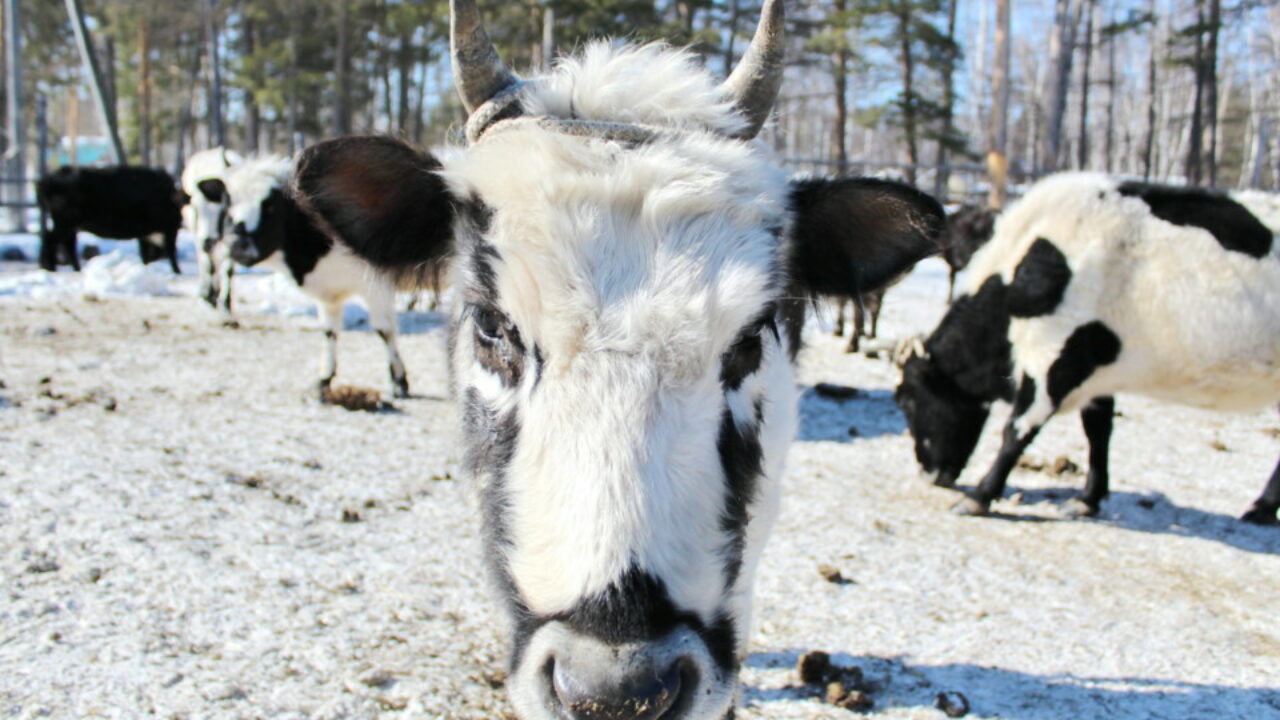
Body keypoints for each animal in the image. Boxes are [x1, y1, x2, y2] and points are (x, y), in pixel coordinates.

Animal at [36, 165, 185, 271]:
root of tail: (46, 179)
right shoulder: (170, 228)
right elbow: (170, 251)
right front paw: (177, 271)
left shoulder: (147, 233)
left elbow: (146, 255)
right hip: (65, 223)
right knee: (52, 239)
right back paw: (51, 267)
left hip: (70, 225)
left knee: (66, 244)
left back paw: (74, 269)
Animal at [181, 147, 243, 310]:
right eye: (196, 208)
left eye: (224, 209)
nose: (208, 243)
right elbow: (209, 265)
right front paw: (208, 297)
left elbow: (228, 269)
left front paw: (226, 302)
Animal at [222, 154, 414, 397]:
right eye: (228, 203)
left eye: (270, 205)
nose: (237, 246)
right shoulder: (329, 294)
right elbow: (329, 331)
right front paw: (325, 379)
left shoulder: (377, 287)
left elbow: (384, 330)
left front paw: (398, 381)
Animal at [890, 171, 1280, 525]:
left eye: (907, 400)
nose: (929, 473)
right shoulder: (1095, 369)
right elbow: (1097, 432)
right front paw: (1087, 500)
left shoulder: (1052, 357)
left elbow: (1017, 429)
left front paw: (979, 497)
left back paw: (1260, 509)